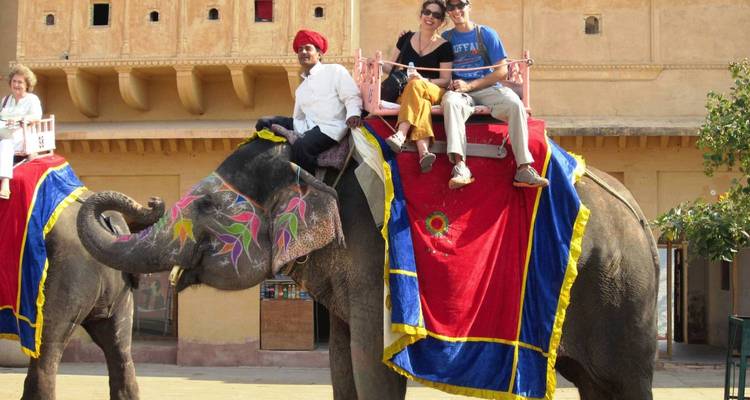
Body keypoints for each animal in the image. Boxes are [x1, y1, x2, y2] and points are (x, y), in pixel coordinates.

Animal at [77, 137, 659, 400]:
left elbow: (370, 358)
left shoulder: (372, 253)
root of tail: (646, 224)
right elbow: (341, 356)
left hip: (624, 296)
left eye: (207, 206)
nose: (150, 200)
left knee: (626, 383)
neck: (315, 162)